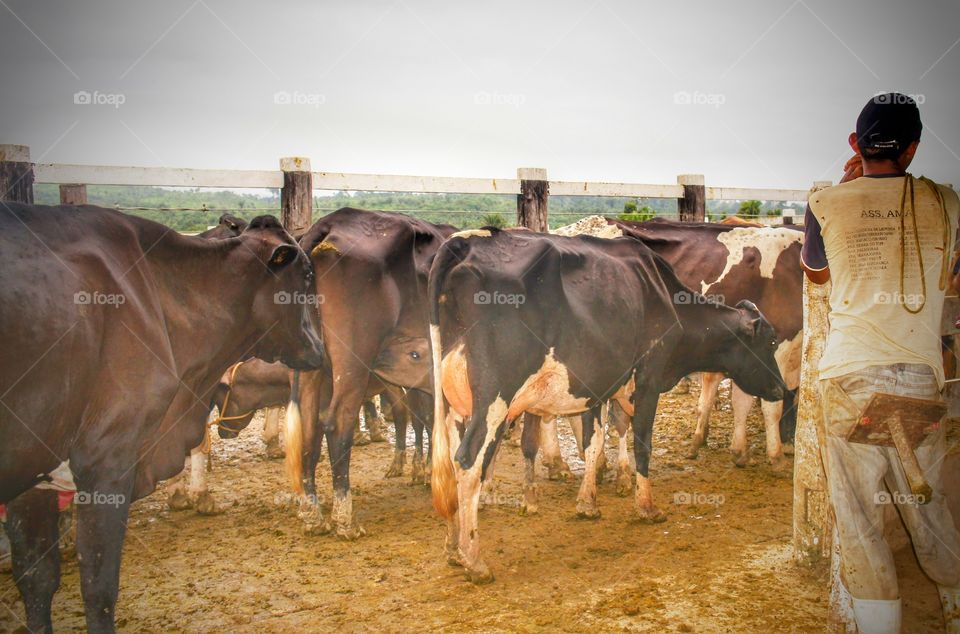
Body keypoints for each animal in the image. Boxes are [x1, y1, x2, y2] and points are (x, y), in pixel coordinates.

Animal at [0, 203, 325, 632]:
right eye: (306, 274)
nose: (322, 350)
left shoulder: (35, 478)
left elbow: (37, 579)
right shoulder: (107, 461)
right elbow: (99, 588)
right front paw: (195, 496)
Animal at [284, 208, 454, 538]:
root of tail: (327, 225)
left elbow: (425, 415)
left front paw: (423, 470)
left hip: (312, 365)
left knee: (309, 427)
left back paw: (312, 513)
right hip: (353, 358)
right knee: (337, 422)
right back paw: (345, 519)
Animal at [428, 228, 786, 582]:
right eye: (770, 342)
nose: (781, 388)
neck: (665, 297)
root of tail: (467, 240)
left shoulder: (597, 387)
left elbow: (594, 441)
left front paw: (588, 503)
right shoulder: (648, 381)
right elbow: (642, 445)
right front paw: (647, 506)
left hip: (453, 403)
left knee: (452, 463)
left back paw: (452, 548)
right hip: (494, 397)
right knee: (468, 462)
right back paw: (474, 559)